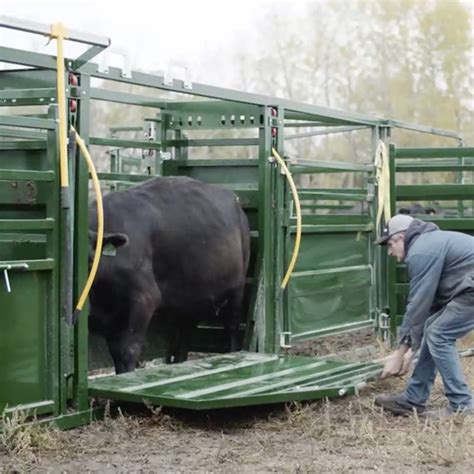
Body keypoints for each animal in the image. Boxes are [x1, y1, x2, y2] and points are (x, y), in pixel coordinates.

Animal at [87, 175, 250, 374]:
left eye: (90, 260)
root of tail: (233, 198)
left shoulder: (144, 299)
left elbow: (128, 351)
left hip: (236, 291)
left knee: (232, 328)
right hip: (189, 297)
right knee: (184, 334)